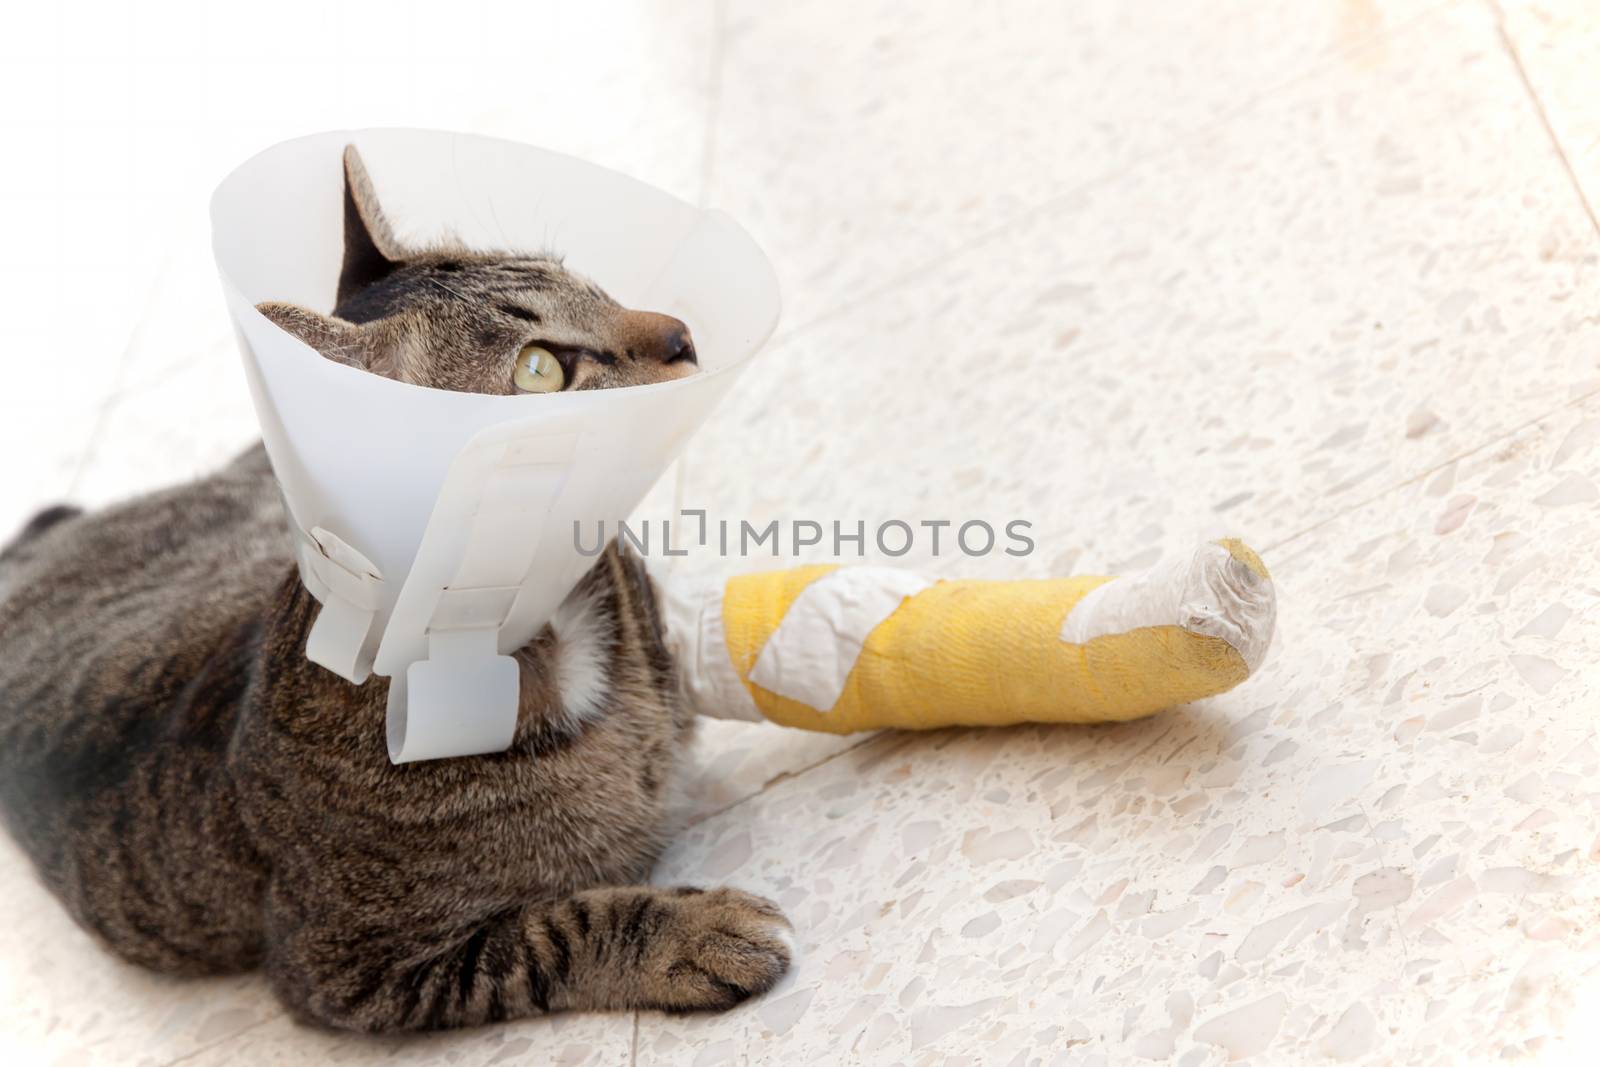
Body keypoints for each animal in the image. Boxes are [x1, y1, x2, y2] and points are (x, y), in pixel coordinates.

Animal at [0, 147, 793, 1036]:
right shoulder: (353, 969)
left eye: (586, 281)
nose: (683, 332)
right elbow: (557, 930)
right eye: (541, 369)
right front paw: (698, 931)